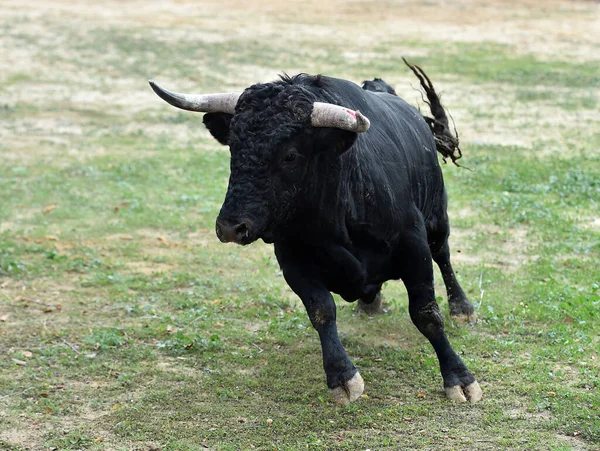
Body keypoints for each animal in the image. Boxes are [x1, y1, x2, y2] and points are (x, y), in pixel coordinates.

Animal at [150, 62, 482, 406]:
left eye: (290, 155)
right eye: (233, 149)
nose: (230, 227)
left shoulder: (413, 244)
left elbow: (426, 312)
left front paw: (459, 377)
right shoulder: (292, 259)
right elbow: (321, 310)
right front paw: (342, 376)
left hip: (437, 216)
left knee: (443, 254)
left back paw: (462, 308)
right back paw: (371, 302)